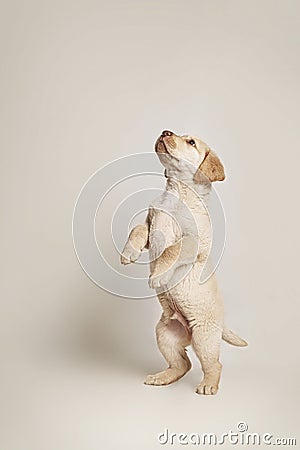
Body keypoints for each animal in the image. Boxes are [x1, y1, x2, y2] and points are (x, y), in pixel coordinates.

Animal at [119, 130, 246, 394]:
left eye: (191, 142)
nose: (165, 132)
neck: (176, 192)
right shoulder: (150, 224)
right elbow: (137, 229)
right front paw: (128, 253)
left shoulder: (195, 241)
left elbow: (171, 250)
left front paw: (158, 275)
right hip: (164, 333)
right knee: (182, 364)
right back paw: (162, 377)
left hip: (203, 338)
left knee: (214, 364)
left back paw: (208, 385)